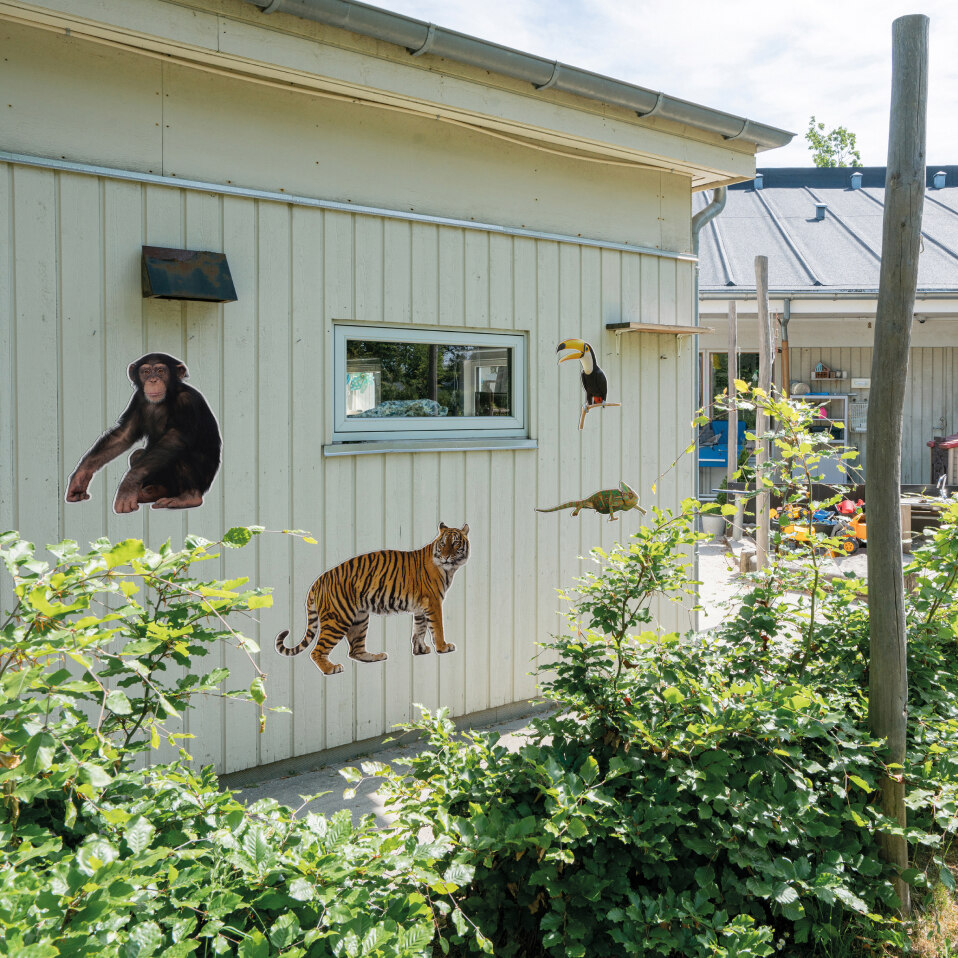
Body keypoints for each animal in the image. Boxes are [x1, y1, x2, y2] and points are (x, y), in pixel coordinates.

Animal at [276, 524, 470, 676]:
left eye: (455, 543)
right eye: (443, 543)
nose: (445, 556)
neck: (449, 568)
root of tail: (319, 580)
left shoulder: (421, 606)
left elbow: (419, 628)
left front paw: (420, 650)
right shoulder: (433, 602)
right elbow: (437, 627)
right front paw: (443, 647)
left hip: (359, 619)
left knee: (355, 651)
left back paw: (376, 656)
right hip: (338, 619)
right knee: (317, 651)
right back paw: (331, 669)